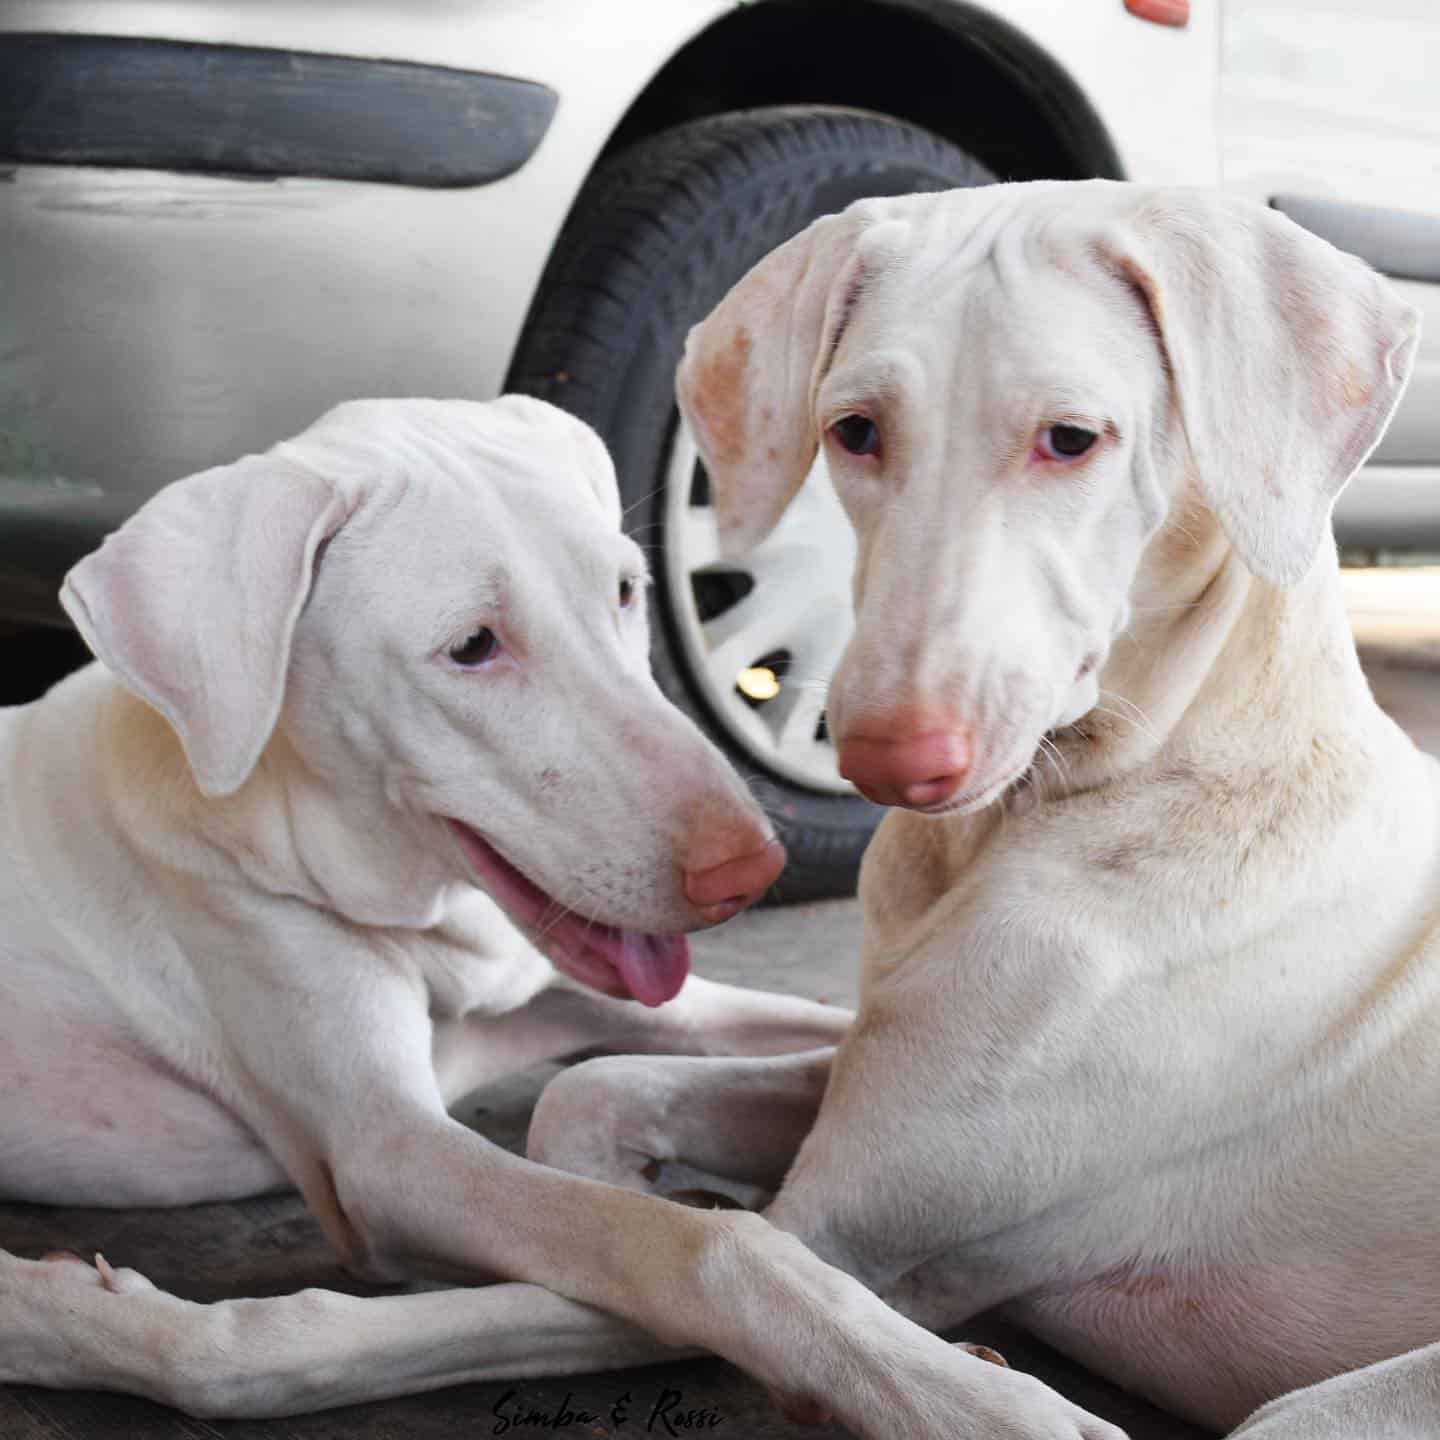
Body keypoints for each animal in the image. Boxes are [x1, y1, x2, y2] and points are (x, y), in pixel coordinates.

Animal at [524, 182, 1434, 1440]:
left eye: (1073, 438)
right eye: (855, 430)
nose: (889, 759)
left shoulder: (843, 1229)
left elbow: (723, 1260)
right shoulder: (862, 1089)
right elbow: (593, 1088)